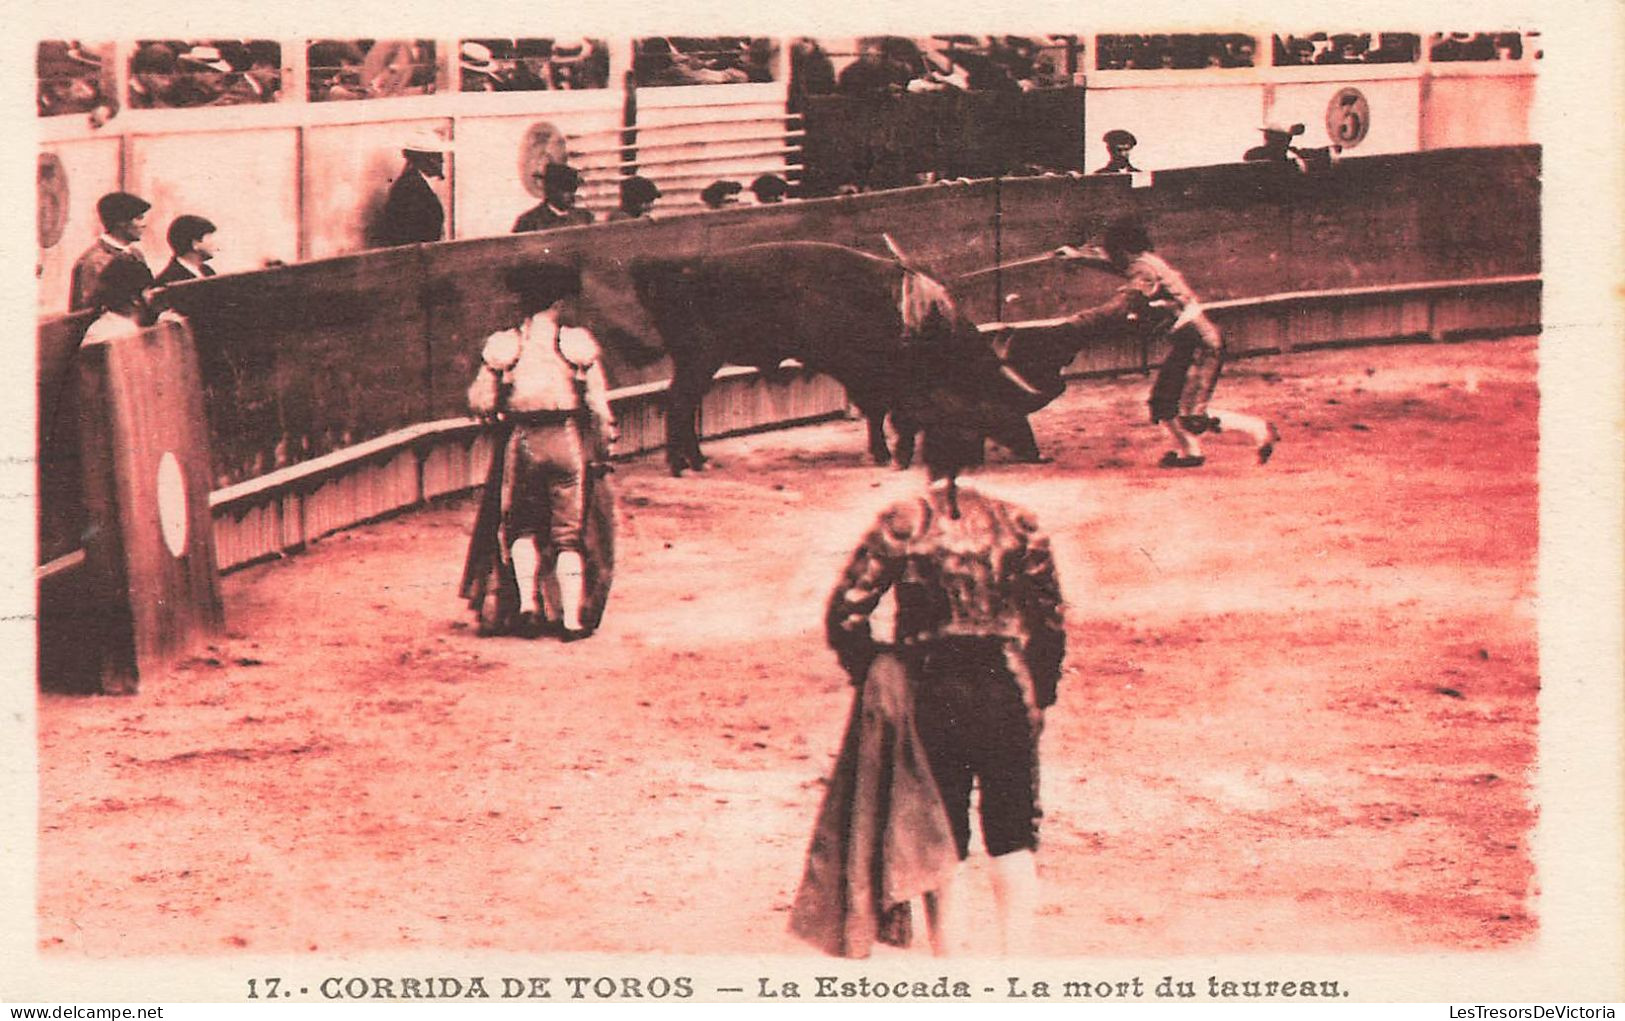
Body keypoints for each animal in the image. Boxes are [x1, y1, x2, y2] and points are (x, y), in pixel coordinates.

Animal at [620, 240, 1144, 477]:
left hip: (699, 360)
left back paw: (694, 459)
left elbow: (878, 414)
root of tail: (673, 270)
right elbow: (894, 414)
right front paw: (895, 455)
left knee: (684, 404)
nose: (1036, 452)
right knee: (678, 404)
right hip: (700, 357)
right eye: (1002, 403)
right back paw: (684, 464)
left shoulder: (869, 377)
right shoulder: (880, 376)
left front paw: (883, 452)